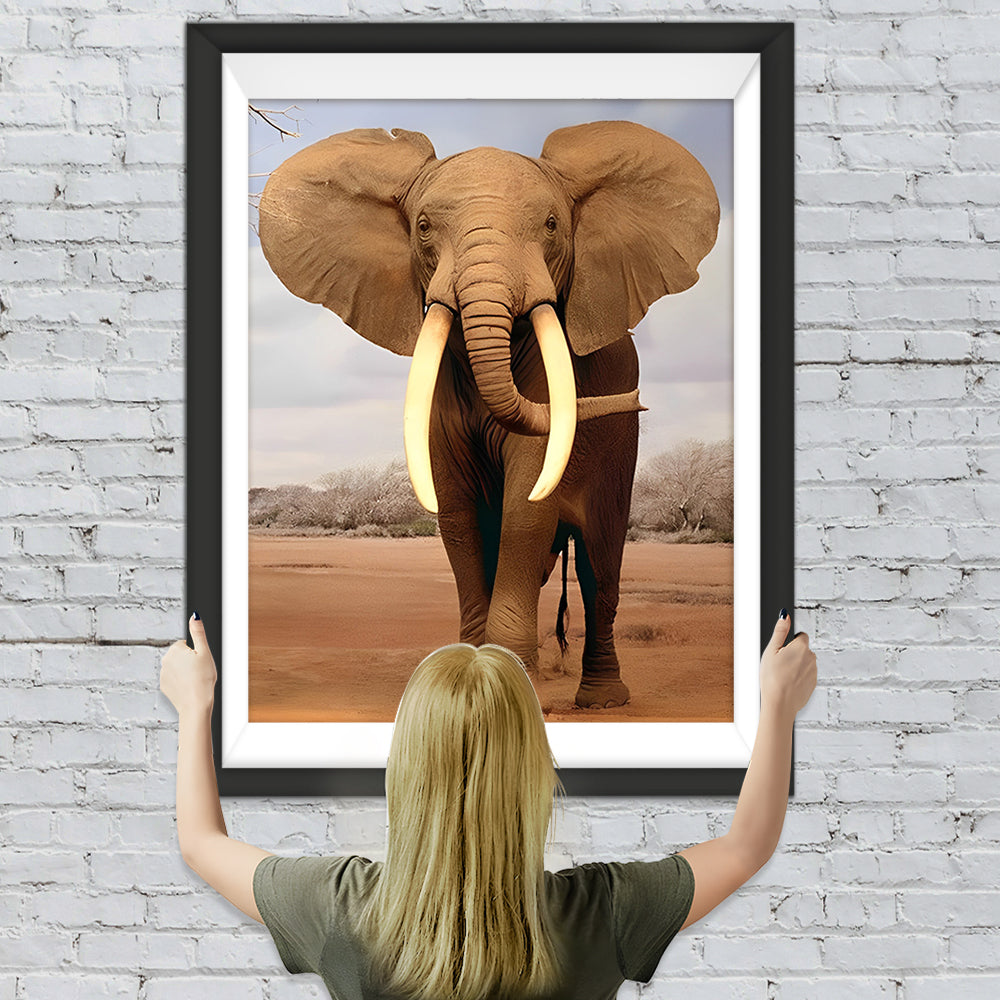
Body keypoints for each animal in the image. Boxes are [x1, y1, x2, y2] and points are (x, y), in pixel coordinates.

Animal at [258, 121, 719, 709]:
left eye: (551, 225)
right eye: (424, 228)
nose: (641, 397)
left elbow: (527, 504)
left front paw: (515, 678)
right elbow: (457, 511)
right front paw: (471, 672)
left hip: (622, 447)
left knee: (600, 565)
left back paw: (602, 699)